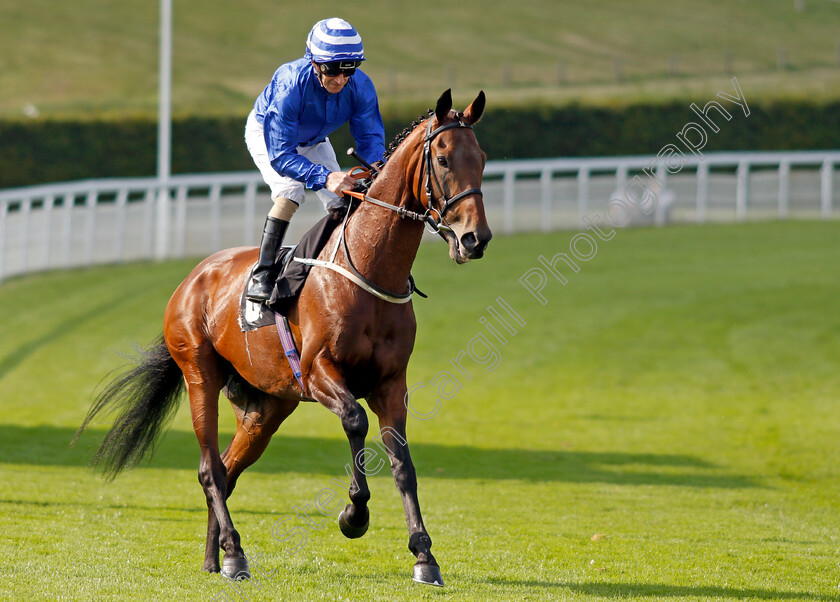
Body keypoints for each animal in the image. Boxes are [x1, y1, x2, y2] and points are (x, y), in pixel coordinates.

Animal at [77, 89, 492, 584]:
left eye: (482, 159)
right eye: (443, 159)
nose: (475, 239)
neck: (367, 269)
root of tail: (193, 277)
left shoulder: (392, 383)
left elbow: (402, 462)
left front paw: (424, 556)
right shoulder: (317, 372)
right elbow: (355, 421)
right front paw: (353, 517)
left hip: (267, 407)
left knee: (228, 469)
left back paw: (216, 558)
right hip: (201, 375)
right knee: (209, 469)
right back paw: (235, 553)